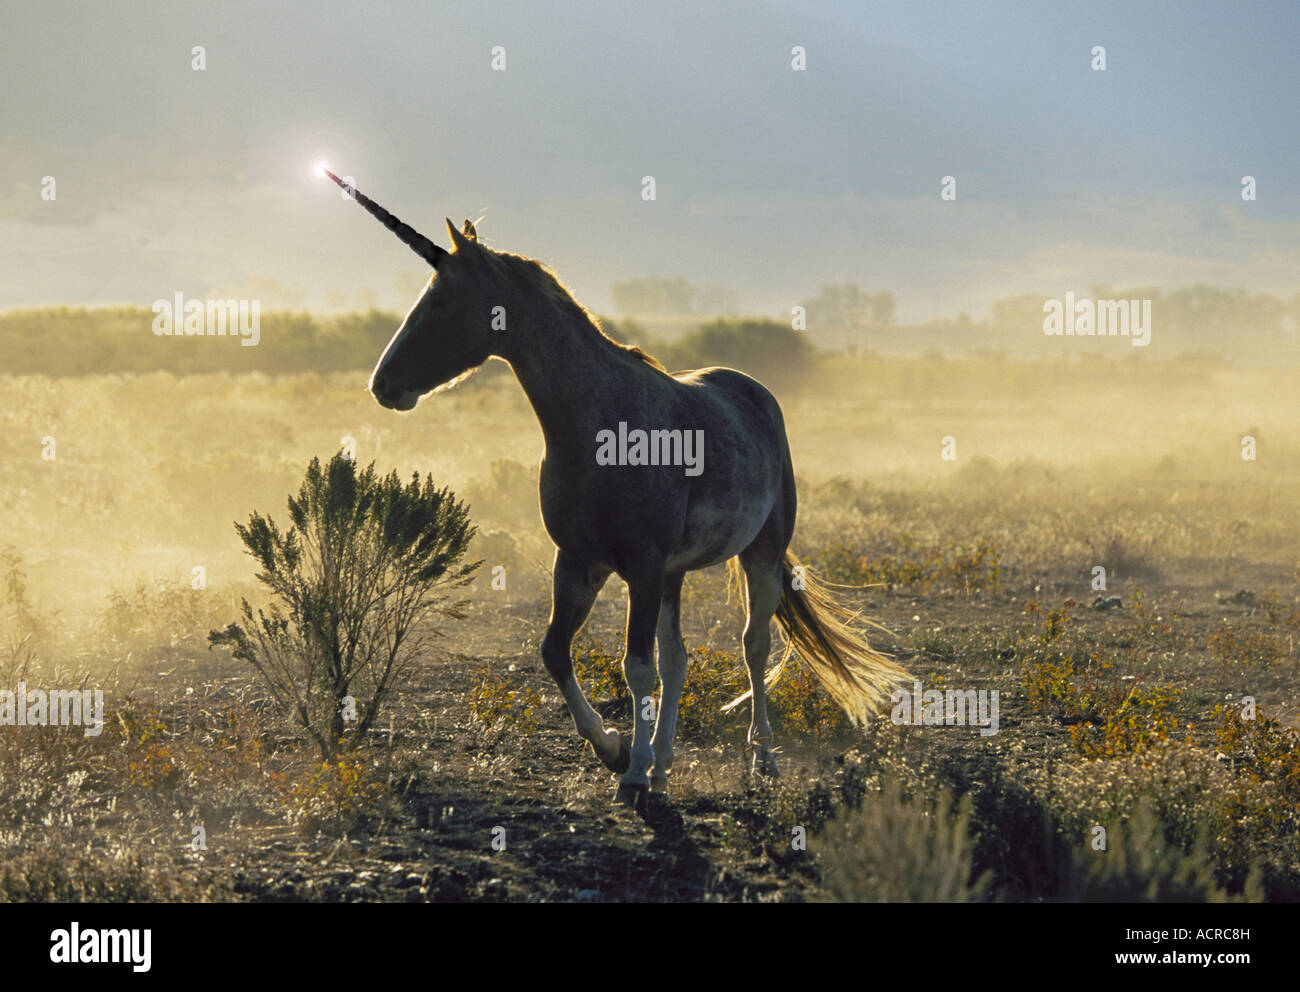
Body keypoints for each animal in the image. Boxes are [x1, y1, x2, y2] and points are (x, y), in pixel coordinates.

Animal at [322, 171, 912, 807]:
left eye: (443, 300)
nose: (384, 384)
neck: (601, 425)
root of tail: (755, 392)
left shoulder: (642, 566)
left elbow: (637, 666)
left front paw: (631, 772)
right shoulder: (581, 561)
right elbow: (557, 652)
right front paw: (617, 750)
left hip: (760, 554)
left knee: (753, 643)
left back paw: (761, 757)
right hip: (676, 575)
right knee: (680, 659)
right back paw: (666, 761)